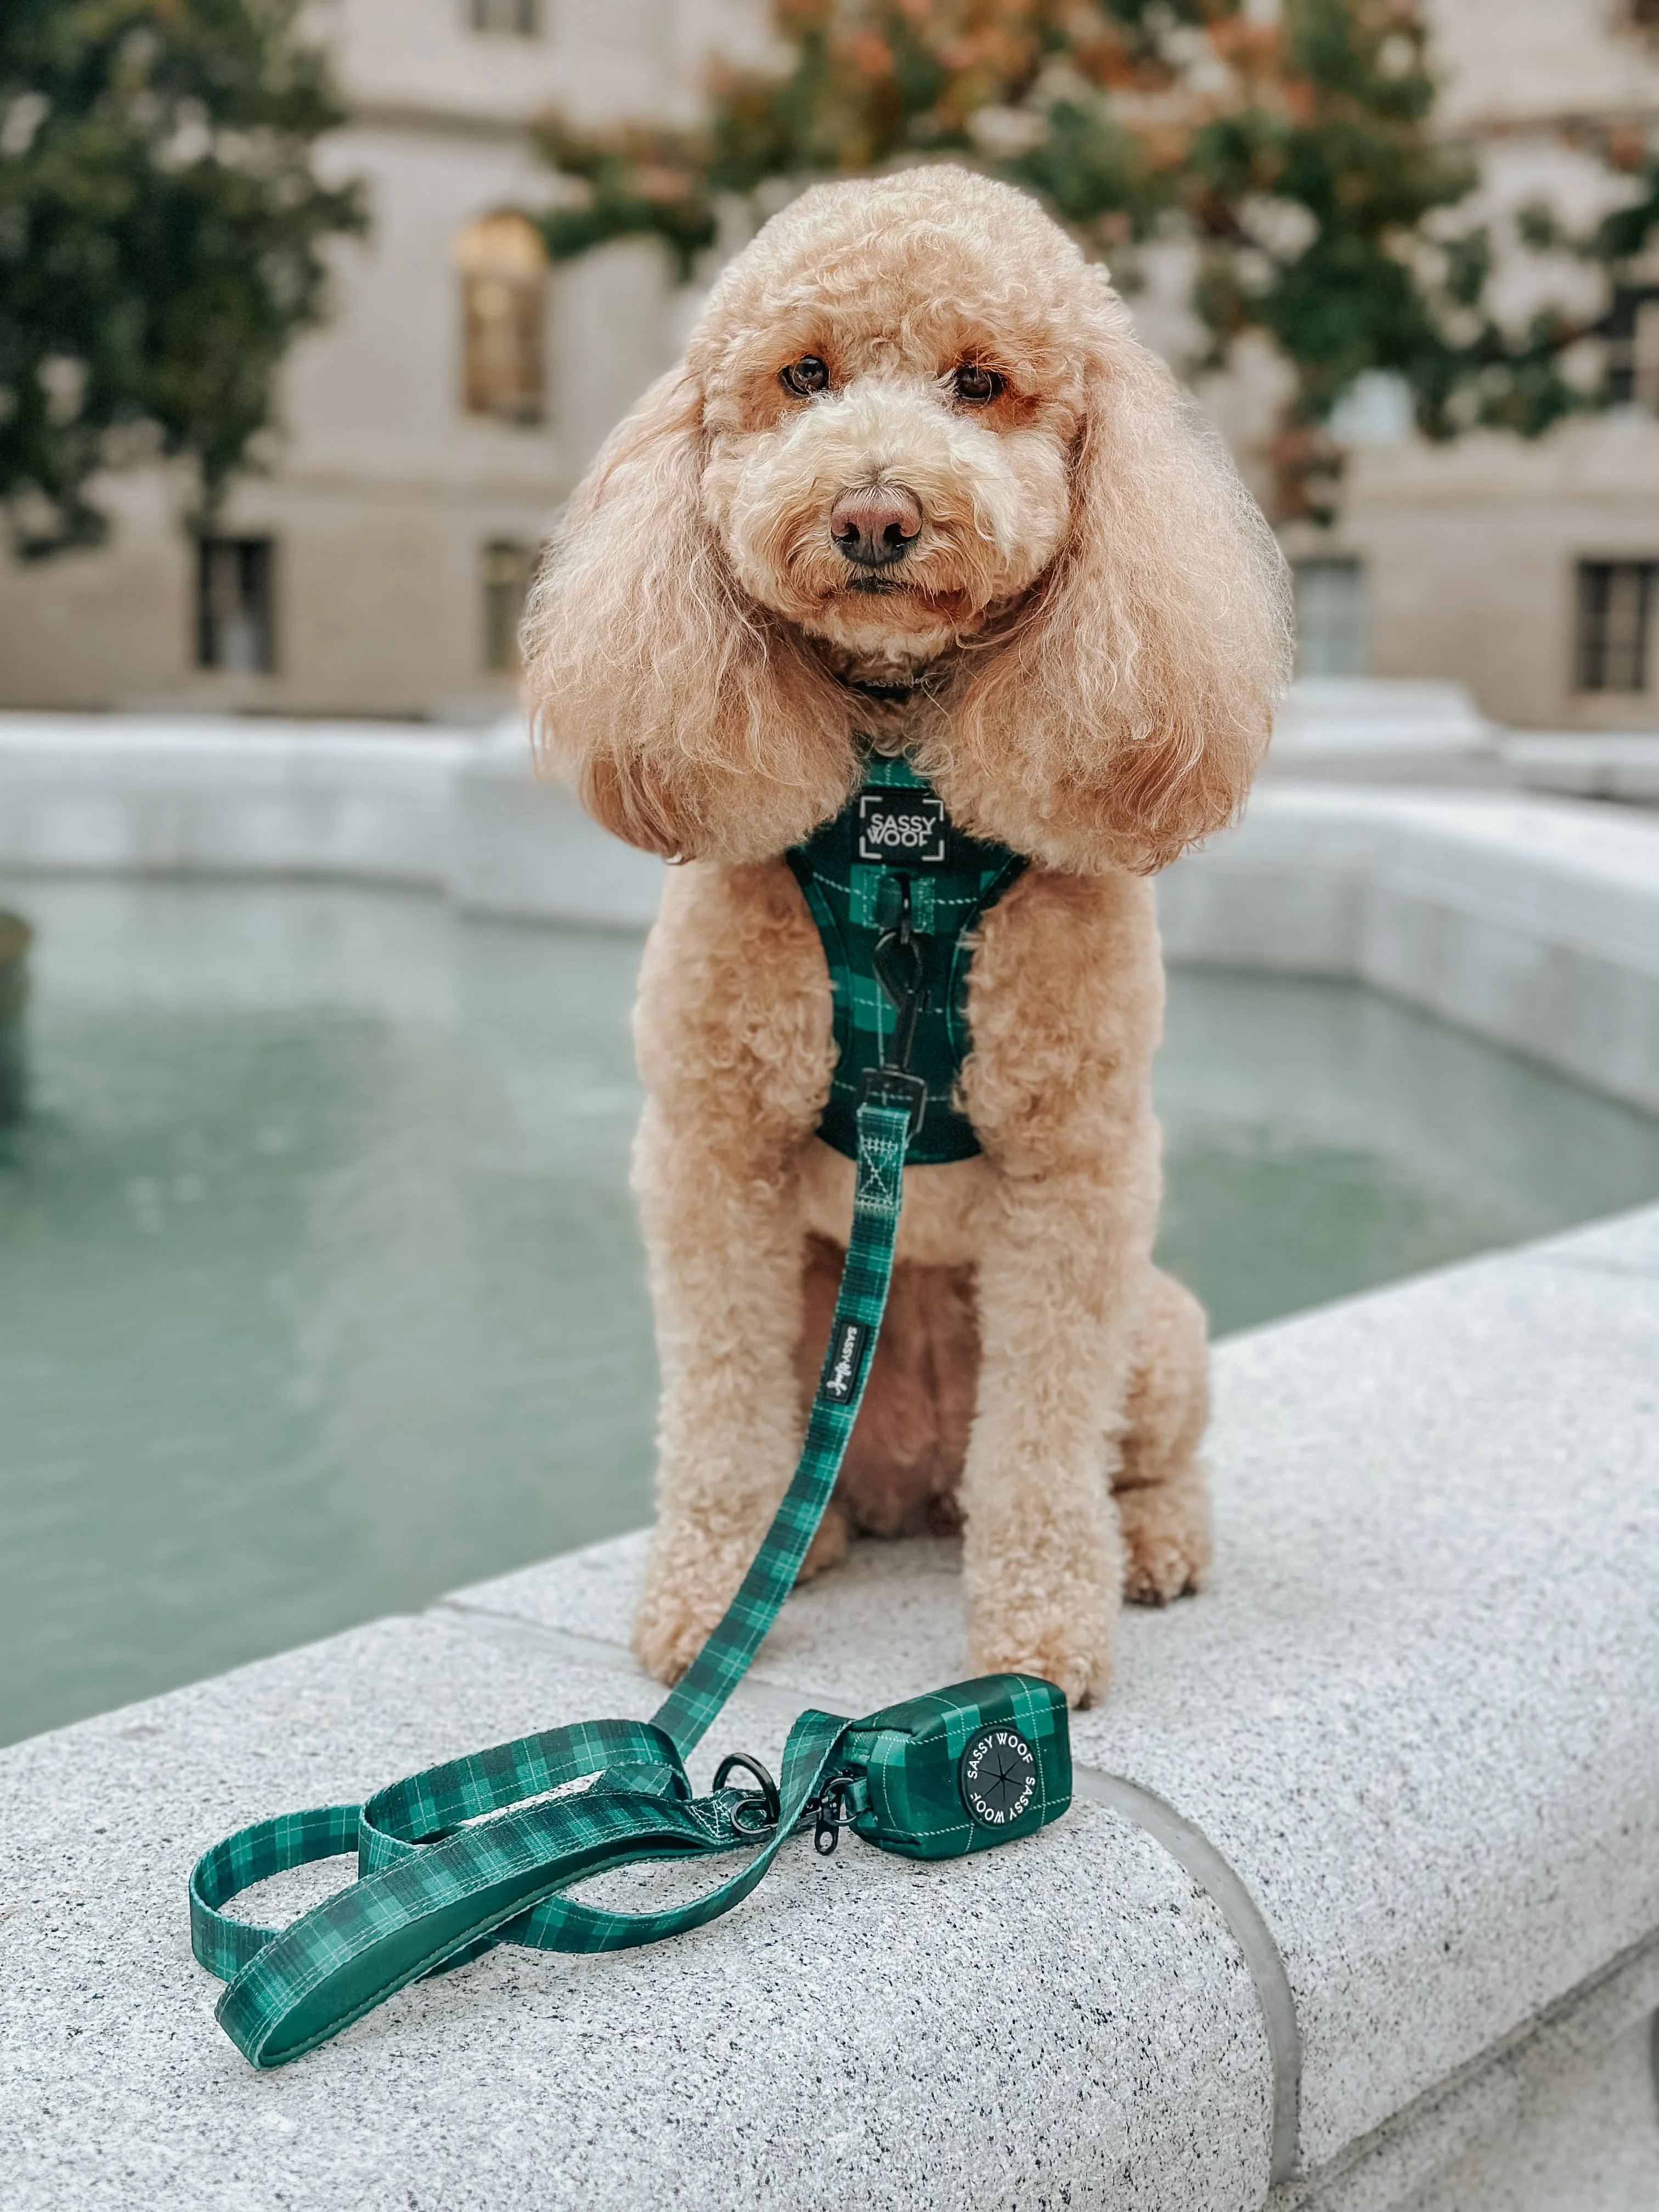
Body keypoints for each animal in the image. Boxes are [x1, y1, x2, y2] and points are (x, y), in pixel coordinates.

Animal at [526, 168, 1291, 1707]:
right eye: (804, 376)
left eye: (981, 384)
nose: (876, 516)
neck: (898, 832)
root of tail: (915, 1484)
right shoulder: (711, 1154)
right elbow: (716, 1410)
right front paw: (709, 1603)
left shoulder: (1080, 1174)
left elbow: (1045, 1446)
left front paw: (1042, 1638)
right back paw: (802, 1540)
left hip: (1160, 1328)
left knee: (1130, 1461)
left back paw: (1152, 1545)